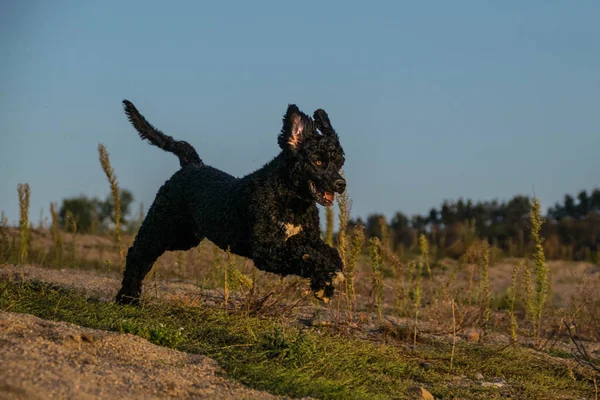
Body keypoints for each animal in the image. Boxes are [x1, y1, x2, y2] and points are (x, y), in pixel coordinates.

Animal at [116, 101, 346, 306]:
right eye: (318, 160)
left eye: (339, 162)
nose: (341, 184)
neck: (290, 200)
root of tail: (192, 164)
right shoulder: (266, 249)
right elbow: (304, 255)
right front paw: (326, 277)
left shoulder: (308, 239)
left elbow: (330, 253)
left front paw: (325, 284)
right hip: (162, 226)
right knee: (137, 254)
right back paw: (127, 298)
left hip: (185, 238)